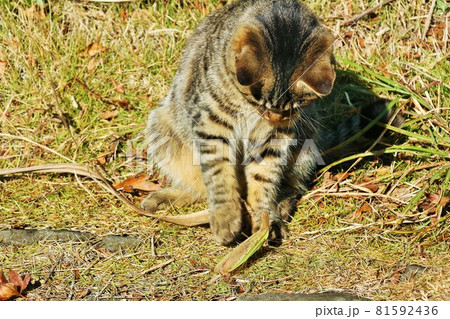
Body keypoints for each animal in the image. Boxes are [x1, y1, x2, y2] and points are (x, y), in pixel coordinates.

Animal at [142, 0, 380, 245]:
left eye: (292, 109)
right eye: (260, 104)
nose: (273, 118)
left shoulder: (276, 137)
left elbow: (263, 178)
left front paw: (266, 219)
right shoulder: (212, 123)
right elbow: (218, 174)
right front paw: (226, 215)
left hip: (305, 144)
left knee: (292, 184)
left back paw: (280, 206)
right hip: (162, 128)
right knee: (199, 186)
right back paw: (164, 198)